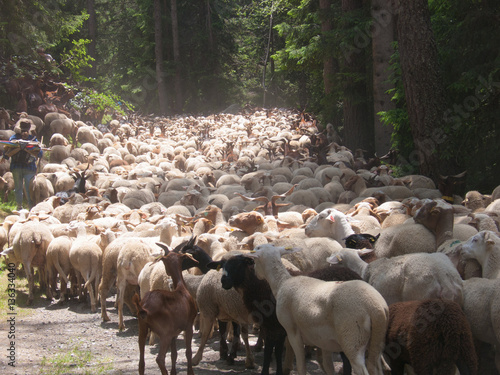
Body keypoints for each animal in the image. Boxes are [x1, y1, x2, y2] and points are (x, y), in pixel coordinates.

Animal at [248, 244, 388, 375]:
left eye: (255, 257)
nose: (255, 273)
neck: (282, 282)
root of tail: (376, 307)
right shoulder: (324, 341)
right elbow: (328, 366)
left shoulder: (292, 332)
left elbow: (301, 366)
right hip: (376, 341)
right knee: (376, 367)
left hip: (353, 339)